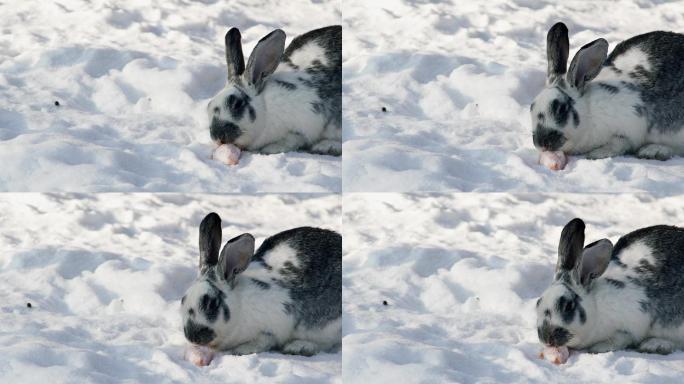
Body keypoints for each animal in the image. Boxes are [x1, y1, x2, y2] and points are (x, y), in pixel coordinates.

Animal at [182, 212, 342, 362]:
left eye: (211, 304)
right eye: (183, 300)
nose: (193, 336)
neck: (240, 306)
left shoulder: (273, 325)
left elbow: (264, 341)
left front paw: (240, 350)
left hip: (324, 326)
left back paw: (299, 347)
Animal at [204, 25, 340, 156]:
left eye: (237, 104)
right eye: (208, 105)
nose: (217, 136)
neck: (266, 109)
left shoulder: (306, 121)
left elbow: (294, 138)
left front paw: (271, 149)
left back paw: (325, 146)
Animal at [532, 21, 684, 160]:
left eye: (561, 109)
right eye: (531, 108)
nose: (541, 142)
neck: (590, 111)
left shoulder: (629, 126)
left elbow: (619, 143)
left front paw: (597, 154)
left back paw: (653, 150)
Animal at [536, 218, 684, 356]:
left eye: (568, 306)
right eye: (538, 303)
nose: (546, 337)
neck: (596, 307)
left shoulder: (630, 324)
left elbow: (621, 338)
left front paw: (598, 348)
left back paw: (655, 345)